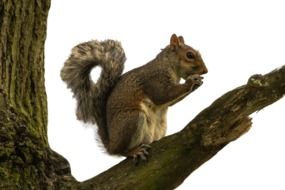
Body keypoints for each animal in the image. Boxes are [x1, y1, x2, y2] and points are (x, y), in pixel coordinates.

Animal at [60, 33, 206, 160]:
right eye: (190, 55)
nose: (206, 71)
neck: (168, 65)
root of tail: (111, 145)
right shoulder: (154, 79)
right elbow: (162, 95)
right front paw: (191, 81)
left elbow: (169, 102)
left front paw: (197, 83)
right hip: (132, 119)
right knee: (121, 151)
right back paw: (133, 151)